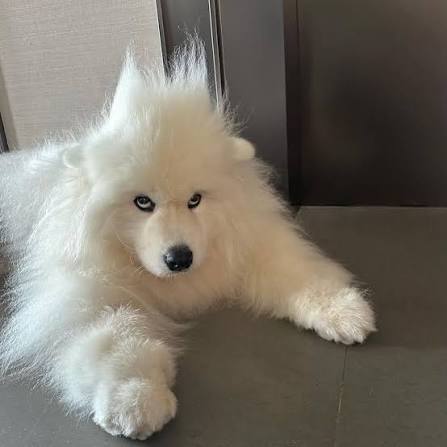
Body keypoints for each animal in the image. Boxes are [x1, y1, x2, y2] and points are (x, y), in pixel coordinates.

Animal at [0, 41, 375, 440]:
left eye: (195, 200)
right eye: (143, 202)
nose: (179, 258)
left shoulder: (251, 251)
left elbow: (299, 276)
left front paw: (343, 310)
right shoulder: (90, 298)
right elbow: (119, 342)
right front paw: (135, 399)